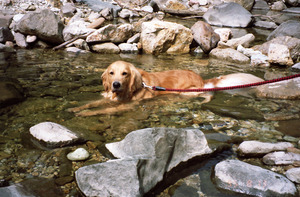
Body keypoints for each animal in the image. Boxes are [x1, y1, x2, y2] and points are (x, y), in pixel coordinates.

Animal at [67, 60, 262, 115]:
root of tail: (200, 78)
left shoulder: (126, 106)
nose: (115, 84)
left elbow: (100, 110)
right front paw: (74, 108)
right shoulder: (108, 98)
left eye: (125, 74)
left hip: (187, 92)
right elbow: (92, 103)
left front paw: (84, 114)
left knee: (208, 95)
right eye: (111, 73)